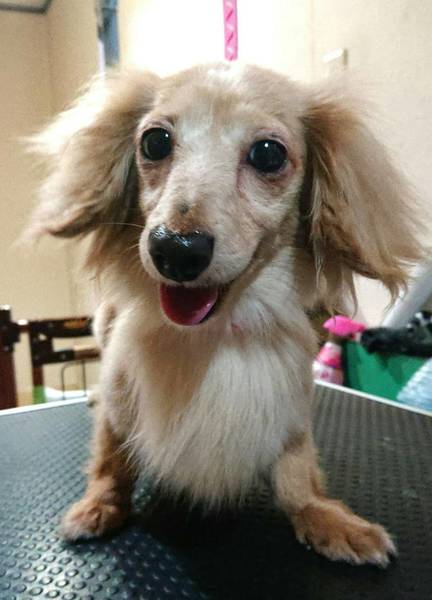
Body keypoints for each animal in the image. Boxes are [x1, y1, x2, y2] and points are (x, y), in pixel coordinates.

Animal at [29, 63, 423, 566]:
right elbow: (111, 458)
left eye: (269, 154)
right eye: (154, 142)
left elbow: (297, 477)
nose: (175, 250)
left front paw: (327, 518)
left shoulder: (287, 414)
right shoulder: (122, 395)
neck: (213, 335)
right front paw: (99, 505)